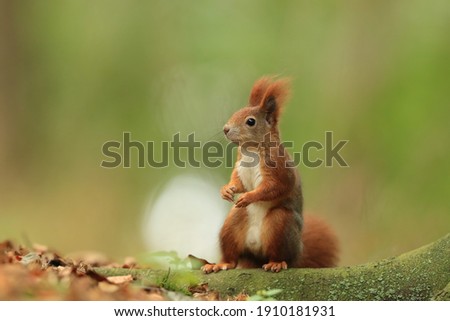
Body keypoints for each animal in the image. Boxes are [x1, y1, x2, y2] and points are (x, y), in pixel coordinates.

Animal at [202, 76, 340, 272]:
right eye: (237, 112)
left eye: (250, 121)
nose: (226, 129)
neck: (251, 150)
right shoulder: (240, 167)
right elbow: (238, 182)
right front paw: (226, 190)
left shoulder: (279, 168)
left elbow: (275, 187)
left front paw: (249, 197)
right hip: (232, 224)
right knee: (232, 256)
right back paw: (221, 264)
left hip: (280, 224)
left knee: (281, 255)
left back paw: (276, 263)